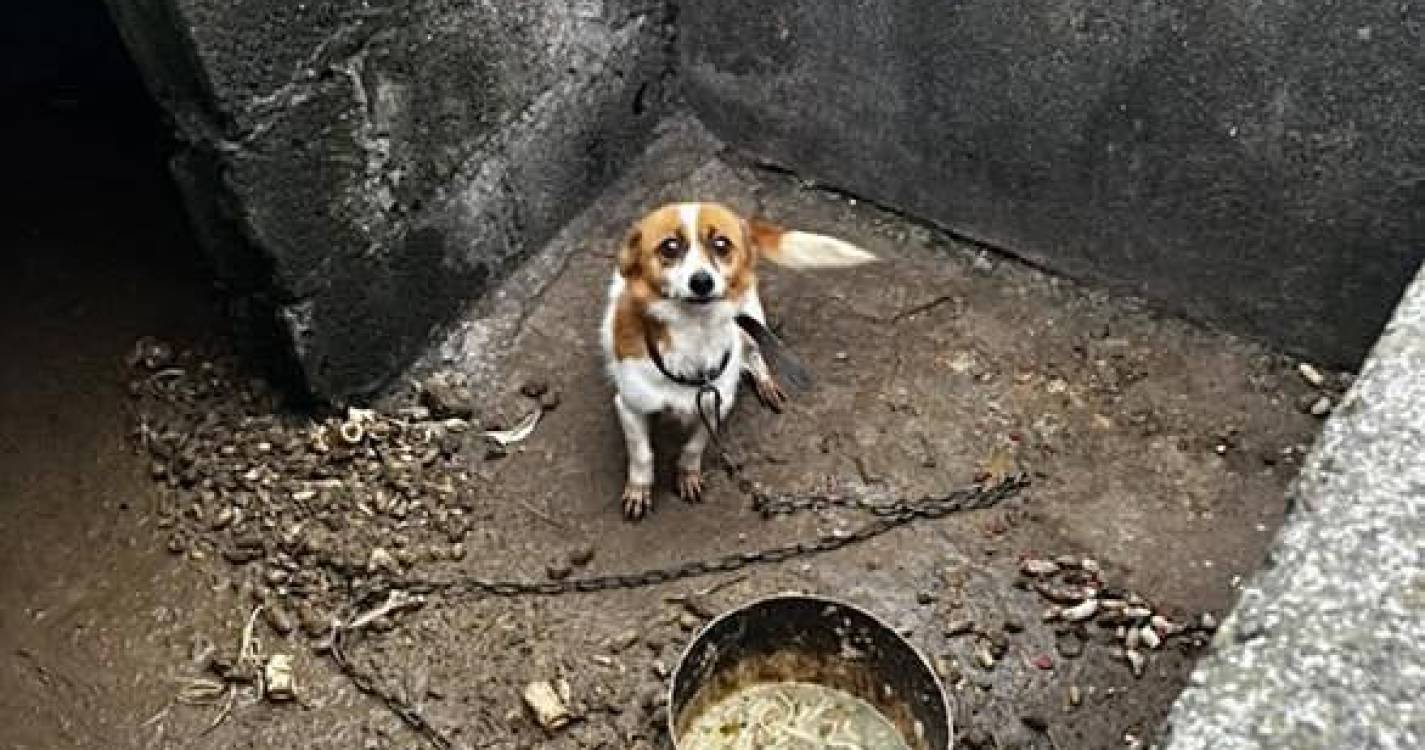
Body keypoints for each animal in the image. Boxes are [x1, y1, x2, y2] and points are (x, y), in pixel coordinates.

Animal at [595, 202, 872, 521]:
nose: (702, 282)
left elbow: (694, 446)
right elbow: (641, 454)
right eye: (670, 247)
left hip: (749, 317)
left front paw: (687, 473)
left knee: (753, 352)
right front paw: (639, 489)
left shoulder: (717, 403)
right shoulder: (629, 407)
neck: (694, 334)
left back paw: (764, 380)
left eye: (721, 244)